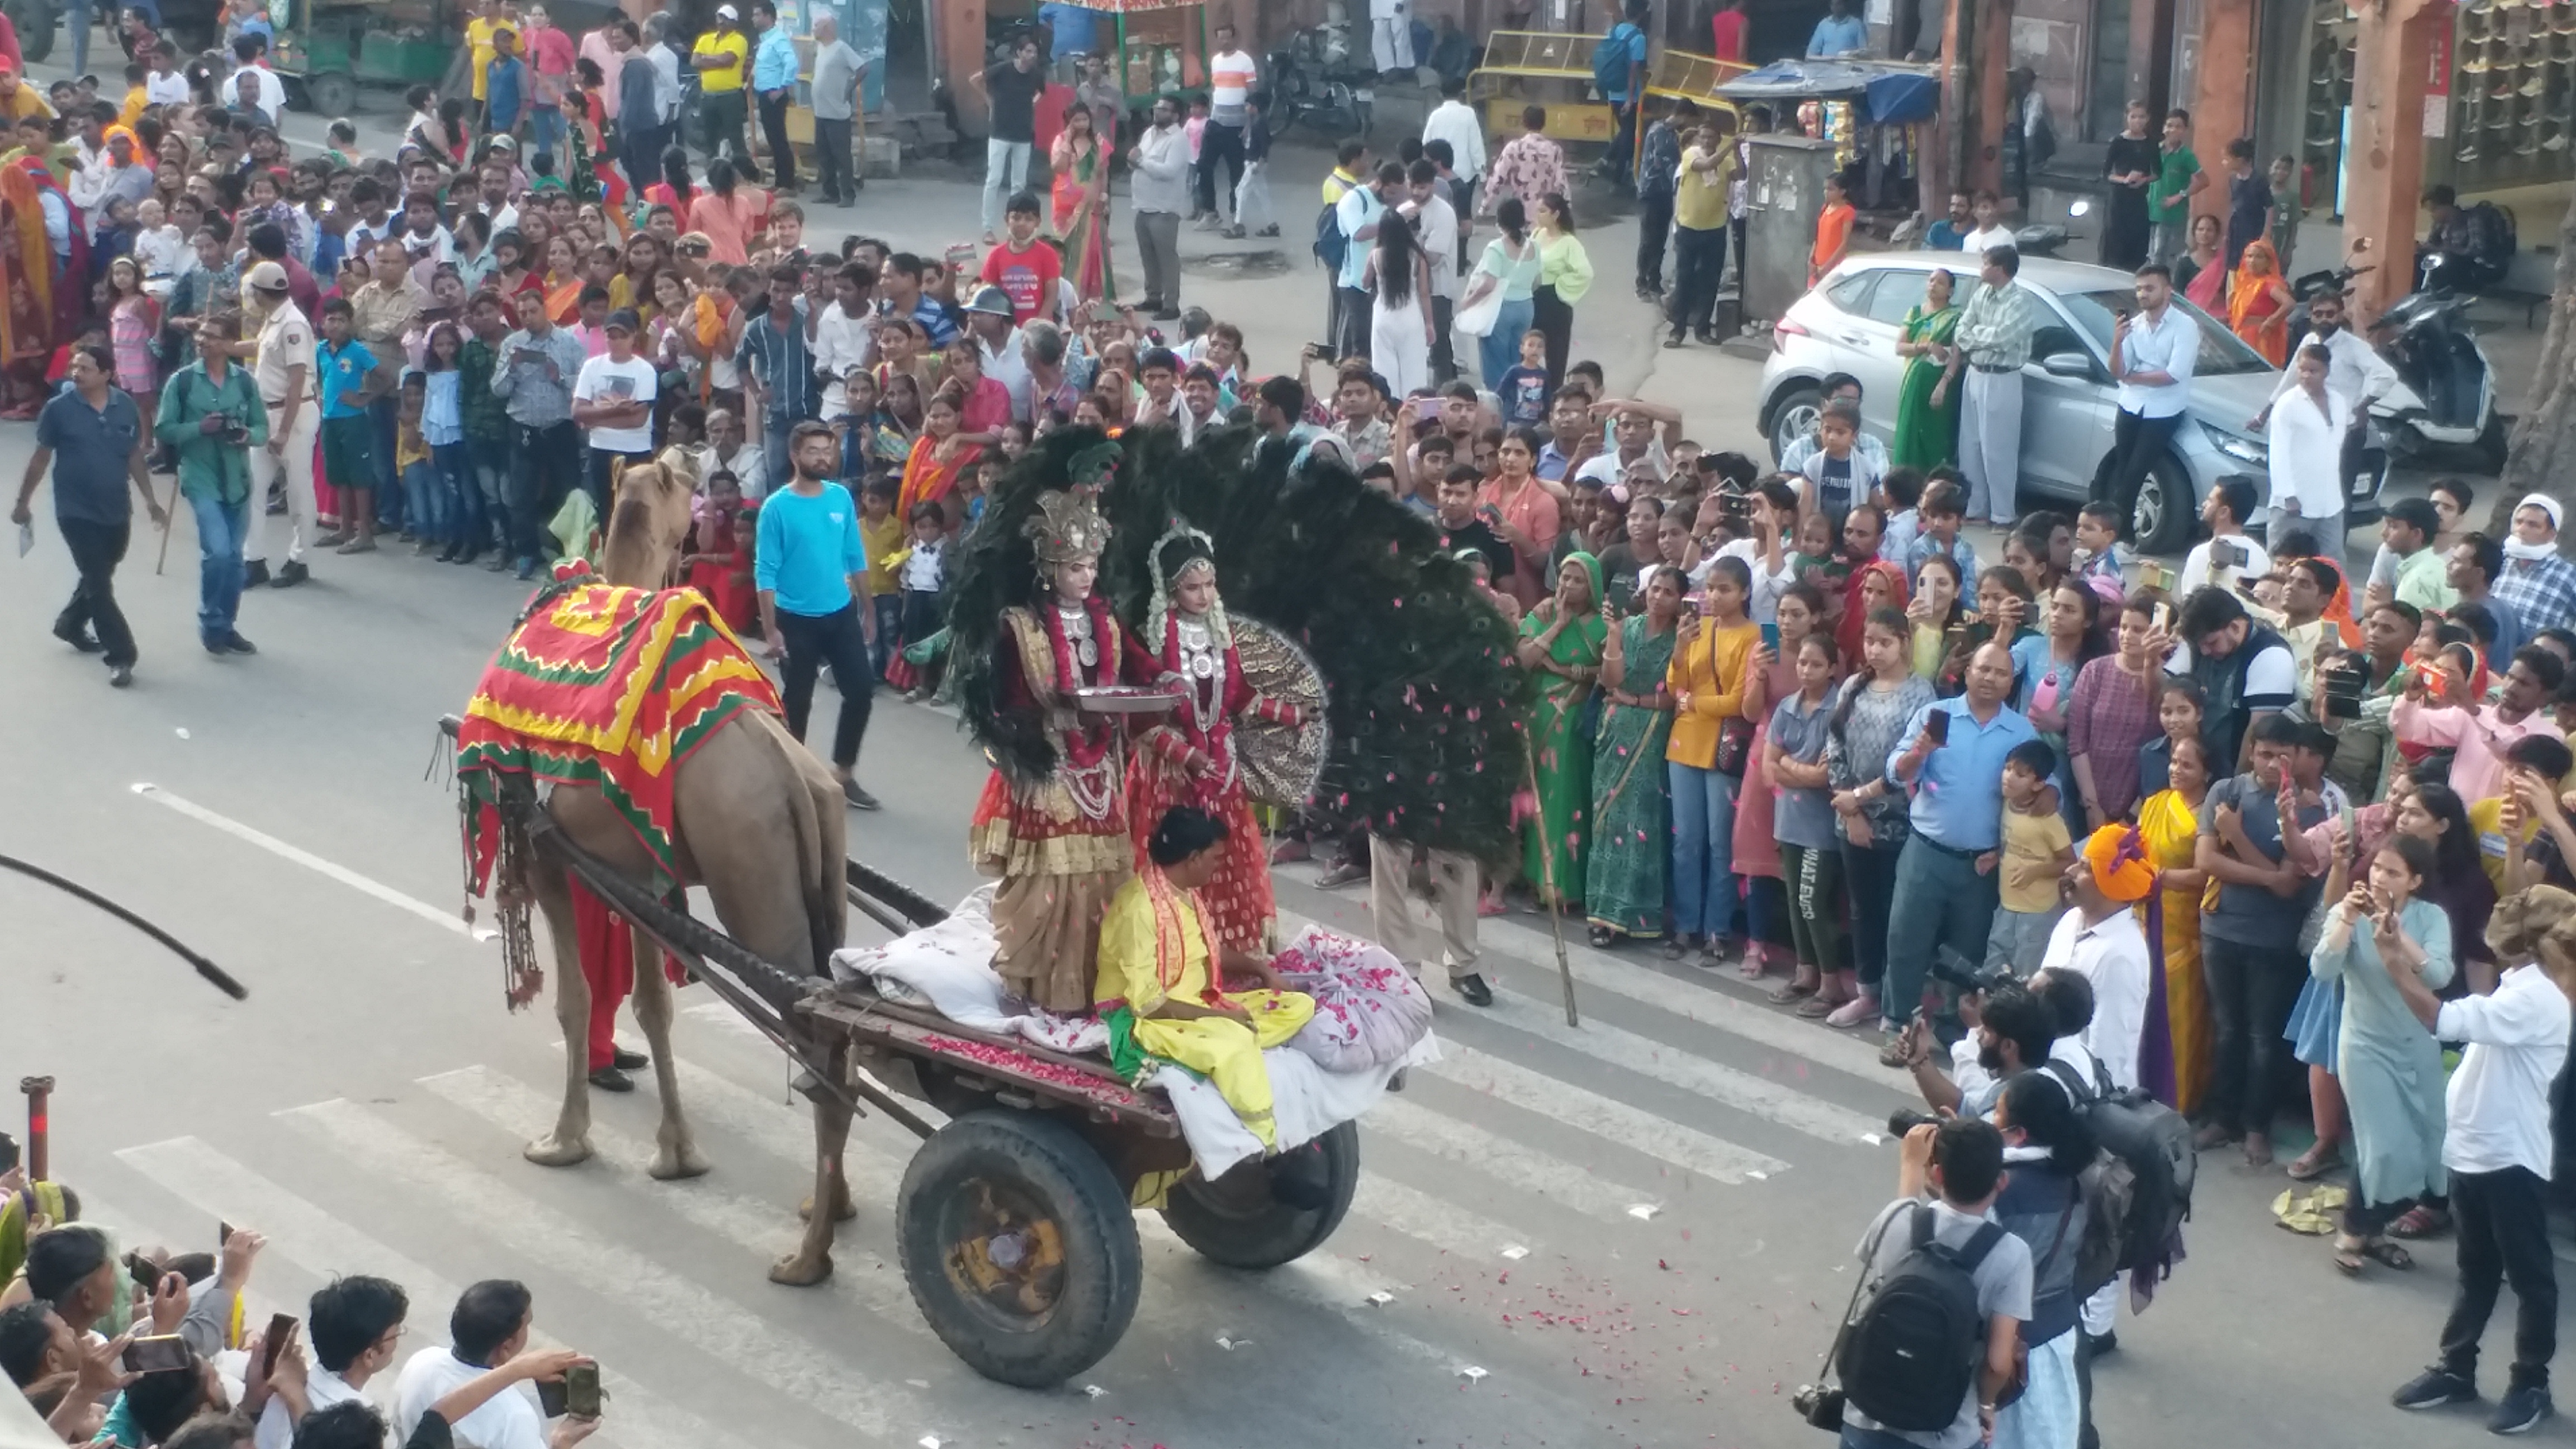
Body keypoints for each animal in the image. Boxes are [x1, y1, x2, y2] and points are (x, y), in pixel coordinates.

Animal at [502, 456, 865, 1278]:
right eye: (669, 477)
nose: (694, 455)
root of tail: (798, 779)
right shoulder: (647, 877)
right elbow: (653, 1006)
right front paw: (677, 1154)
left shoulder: (547, 853)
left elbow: (574, 1001)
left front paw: (563, 1139)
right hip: (821, 879)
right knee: (839, 1047)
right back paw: (830, 1208)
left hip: (755, 886)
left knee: (819, 1051)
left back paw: (808, 1258)